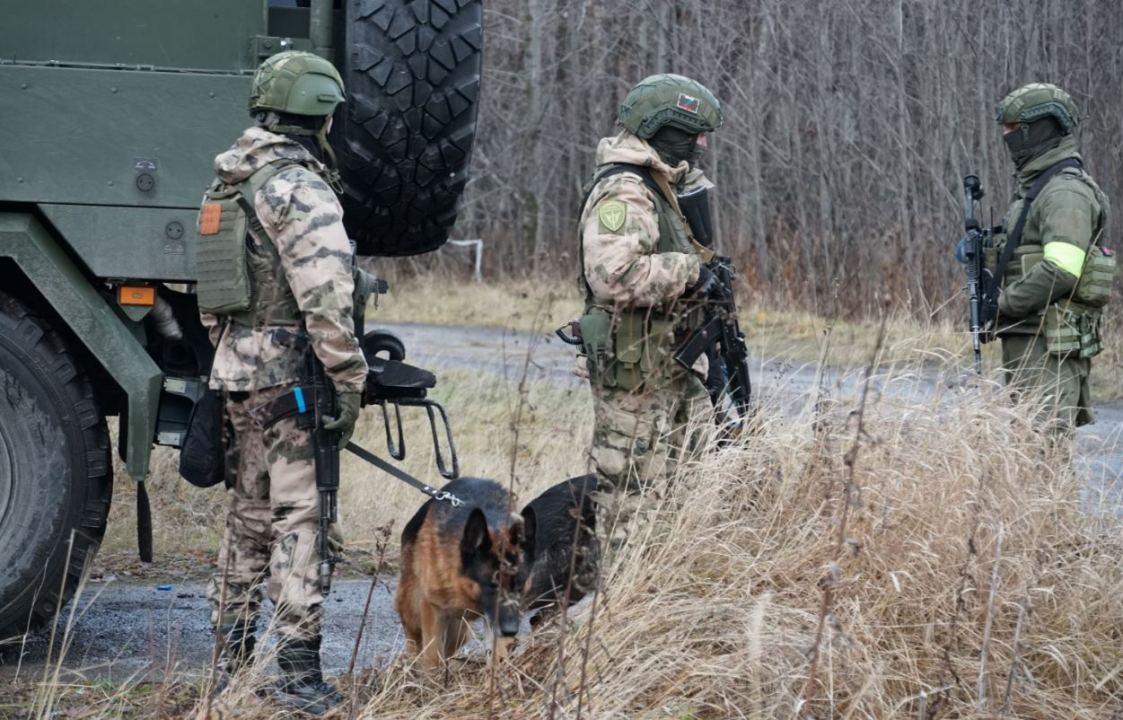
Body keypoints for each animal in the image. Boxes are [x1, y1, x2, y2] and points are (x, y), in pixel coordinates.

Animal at [395, 476, 534, 669]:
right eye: (491, 585)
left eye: (519, 584)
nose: (511, 630)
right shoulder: (432, 610)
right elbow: (432, 660)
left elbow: (496, 657)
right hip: (413, 609)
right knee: (414, 639)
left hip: (460, 630)